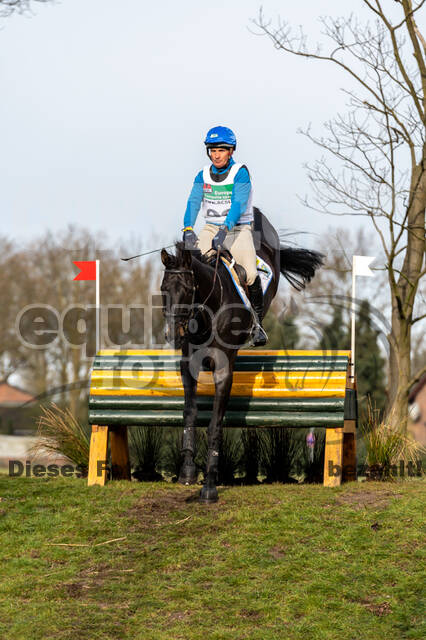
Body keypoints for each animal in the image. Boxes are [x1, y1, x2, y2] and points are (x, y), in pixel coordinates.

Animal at [161, 208, 322, 502]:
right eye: (163, 289)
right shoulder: (189, 365)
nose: (175, 334)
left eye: (188, 290)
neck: (207, 313)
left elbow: (215, 425)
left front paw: (210, 487)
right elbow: (190, 413)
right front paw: (187, 471)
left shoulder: (224, 369)